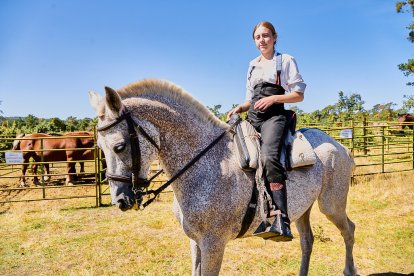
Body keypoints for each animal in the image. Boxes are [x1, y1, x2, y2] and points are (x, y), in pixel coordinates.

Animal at [89, 78, 358, 274]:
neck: (206, 163)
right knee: (307, 241)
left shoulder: (213, 244)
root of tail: (339, 145)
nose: (121, 200)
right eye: (100, 148)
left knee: (349, 230)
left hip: (331, 205)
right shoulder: (195, 242)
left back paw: (349, 270)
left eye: (119, 146)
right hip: (302, 209)